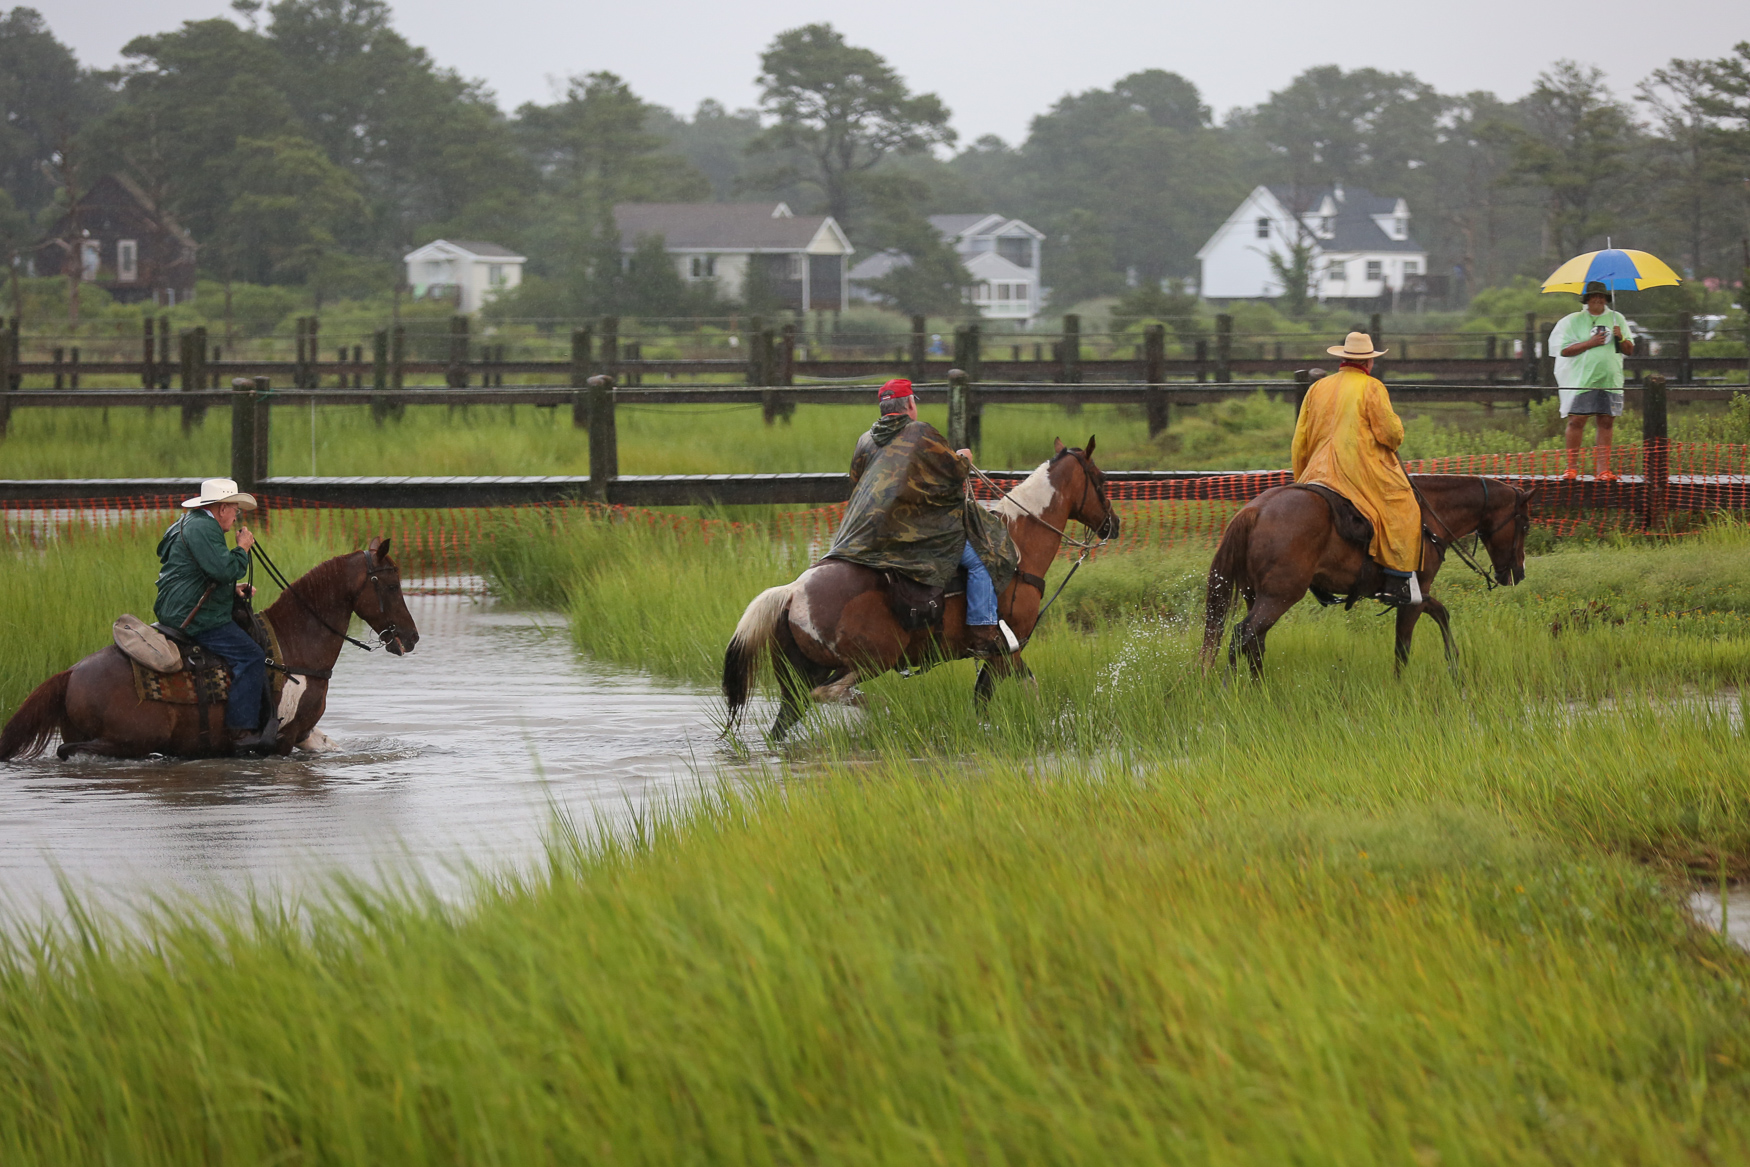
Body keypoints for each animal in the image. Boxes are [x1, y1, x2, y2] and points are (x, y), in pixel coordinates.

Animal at [1, 535, 418, 762]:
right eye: (392, 585)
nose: (411, 638)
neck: (295, 645)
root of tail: (71, 672)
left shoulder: (304, 734)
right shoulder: (283, 740)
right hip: (130, 740)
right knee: (70, 751)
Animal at [721, 437, 1120, 738]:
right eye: (1101, 479)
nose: (1114, 525)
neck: (1018, 546)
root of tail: (792, 591)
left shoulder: (998, 655)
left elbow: (988, 700)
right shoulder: (1007, 650)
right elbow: (1022, 692)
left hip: (802, 674)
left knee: (787, 720)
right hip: (871, 661)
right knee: (831, 692)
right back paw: (885, 711)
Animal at [1204, 475, 1533, 675]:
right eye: (1526, 525)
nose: (1518, 573)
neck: (1428, 518)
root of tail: (1254, 511)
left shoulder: (1417, 594)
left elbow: (1442, 613)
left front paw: (1454, 665)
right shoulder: (1413, 596)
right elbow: (1403, 647)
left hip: (1255, 596)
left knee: (1255, 643)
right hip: (1279, 596)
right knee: (1241, 635)